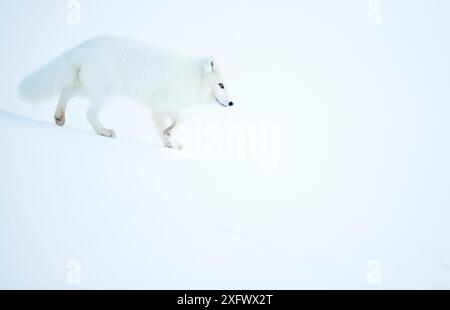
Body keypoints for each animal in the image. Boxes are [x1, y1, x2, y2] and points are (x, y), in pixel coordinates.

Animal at [16, 35, 236, 150]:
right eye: (221, 85)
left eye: (229, 86)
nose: (232, 103)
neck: (190, 78)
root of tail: (84, 46)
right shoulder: (161, 101)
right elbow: (181, 119)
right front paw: (169, 134)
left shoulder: (158, 106)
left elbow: (168, 125)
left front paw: (169, 141)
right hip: (106, 93)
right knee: (89, 112)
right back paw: (105, 132)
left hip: (88, 88)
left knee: (66, 91)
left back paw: (59, 117)